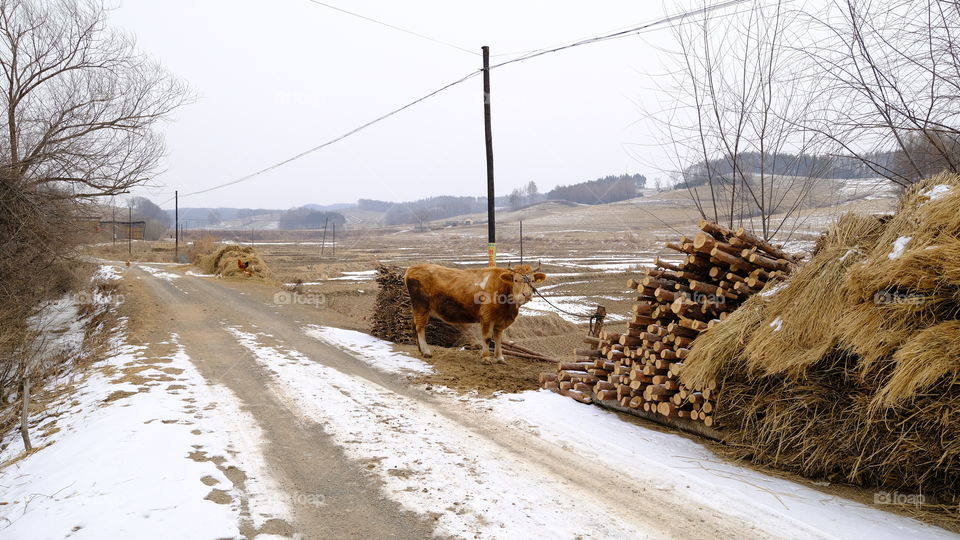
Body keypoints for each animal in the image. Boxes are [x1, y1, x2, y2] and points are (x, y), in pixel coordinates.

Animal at [404, 263, 547, 364]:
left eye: (532, 280)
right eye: (516, 280)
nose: (527, 295)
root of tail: (412, 268)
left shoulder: (500, 321)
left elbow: (498, 338)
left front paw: (500, 358)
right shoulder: (487, 317)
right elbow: (487, 338)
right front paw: (486, 358)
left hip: (417, 308)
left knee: (414, 325)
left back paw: (420, 350)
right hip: (421, 306)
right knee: (420, 327)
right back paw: (426, 351)